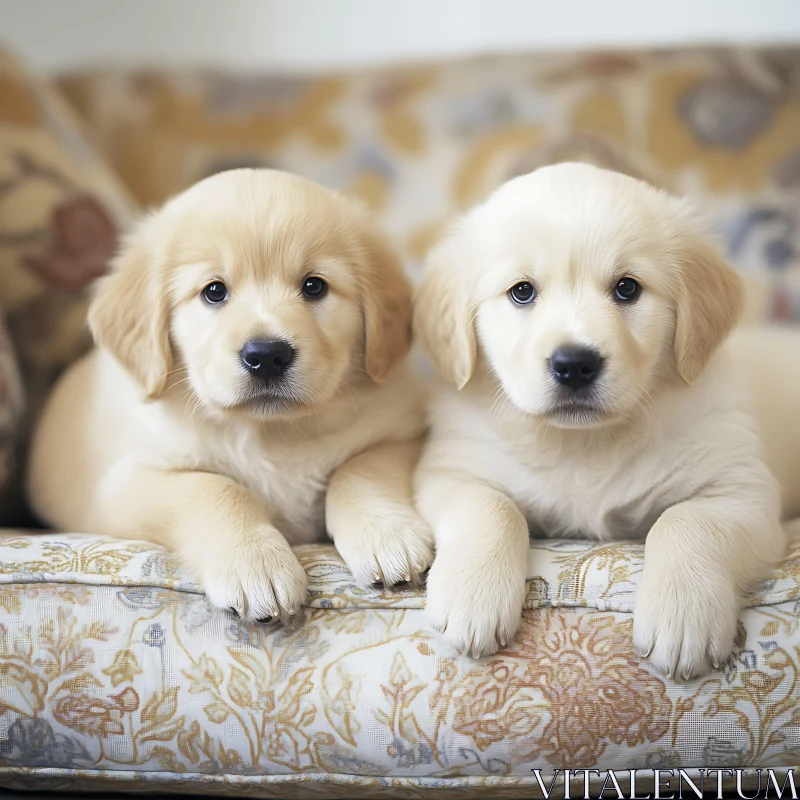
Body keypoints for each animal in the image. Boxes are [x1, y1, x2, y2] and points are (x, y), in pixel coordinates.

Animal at [28, 167, 434, 620]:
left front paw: (387, 536)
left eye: (314, 286)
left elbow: (359, 468)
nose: (267, 355)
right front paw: (255, 563)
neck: (272, 432)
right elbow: (215, 488)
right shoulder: (124, 484)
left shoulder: (402, 432)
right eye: (214, 291)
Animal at [412, 166, 800, 680]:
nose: (574, 364)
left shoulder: (741, 488)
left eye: (627, 288)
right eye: (521, 292)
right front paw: (472, 595)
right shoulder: (452, 469)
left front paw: (682, 617)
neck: (584, 443)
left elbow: (685, 520)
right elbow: (492, 508)